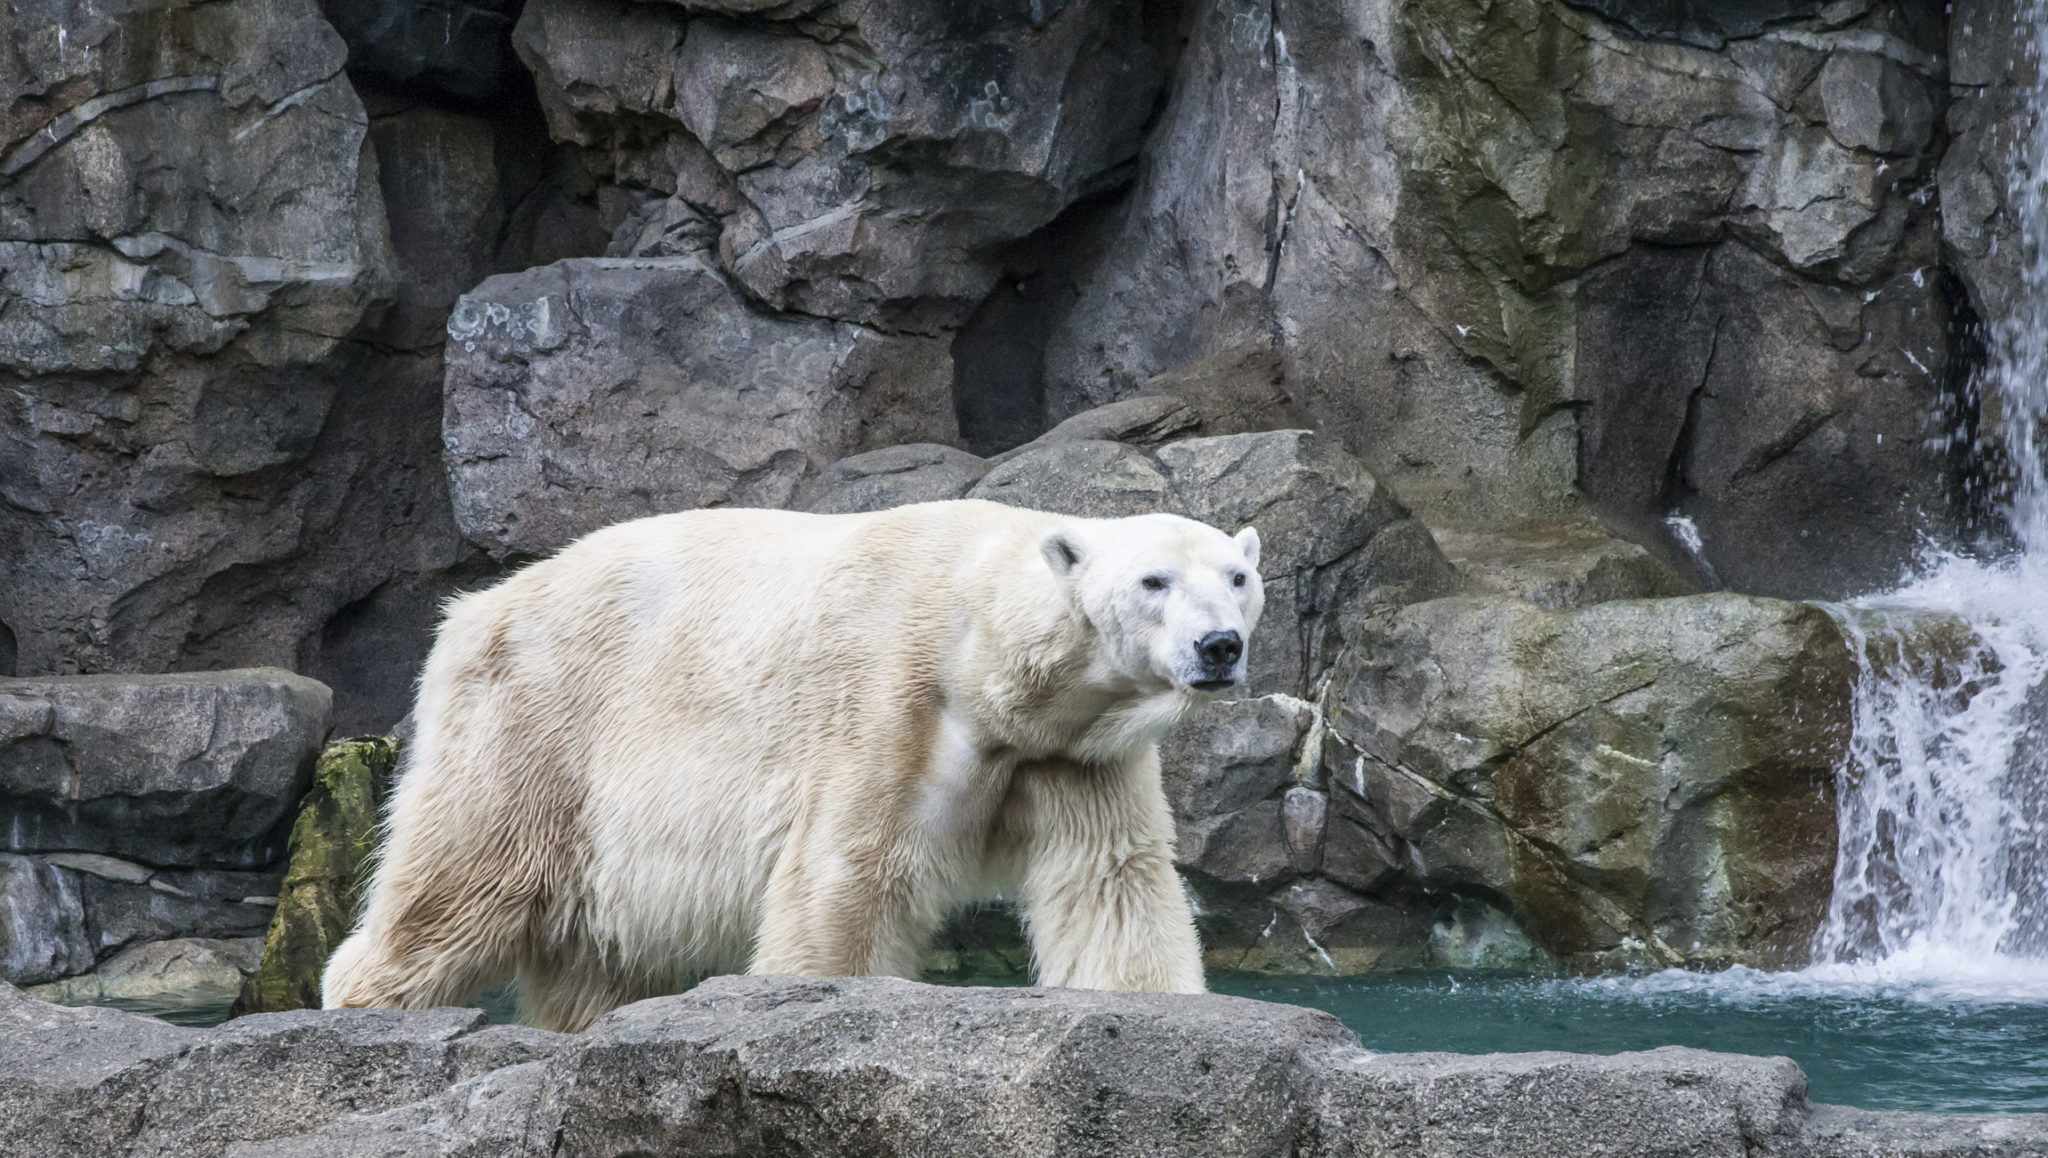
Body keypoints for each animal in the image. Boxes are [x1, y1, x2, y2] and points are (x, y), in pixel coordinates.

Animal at [319, 498, 1261, 1028]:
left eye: (1238, 575)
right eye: (1153, 581)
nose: (1220, 645)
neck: (980, 647)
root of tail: (474, 608)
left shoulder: (1072, 753)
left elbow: (1113, 885)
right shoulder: (890, 708)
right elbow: (845, 881)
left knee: (600, 953)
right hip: (539, 721)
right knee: (465, 876)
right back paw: (365, 1001)